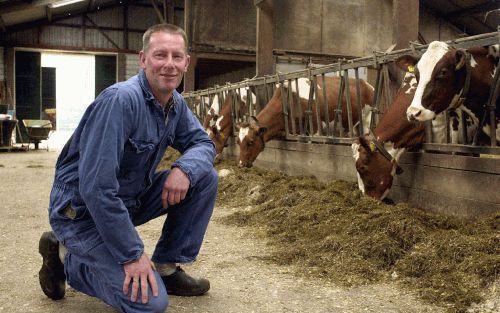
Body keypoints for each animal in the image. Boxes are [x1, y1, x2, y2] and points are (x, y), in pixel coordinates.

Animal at [238, 75, 376, 167]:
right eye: (238, 142)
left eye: (251, 142)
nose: (241, 164)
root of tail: (367, 84)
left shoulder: (314, 128)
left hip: (367, 119)